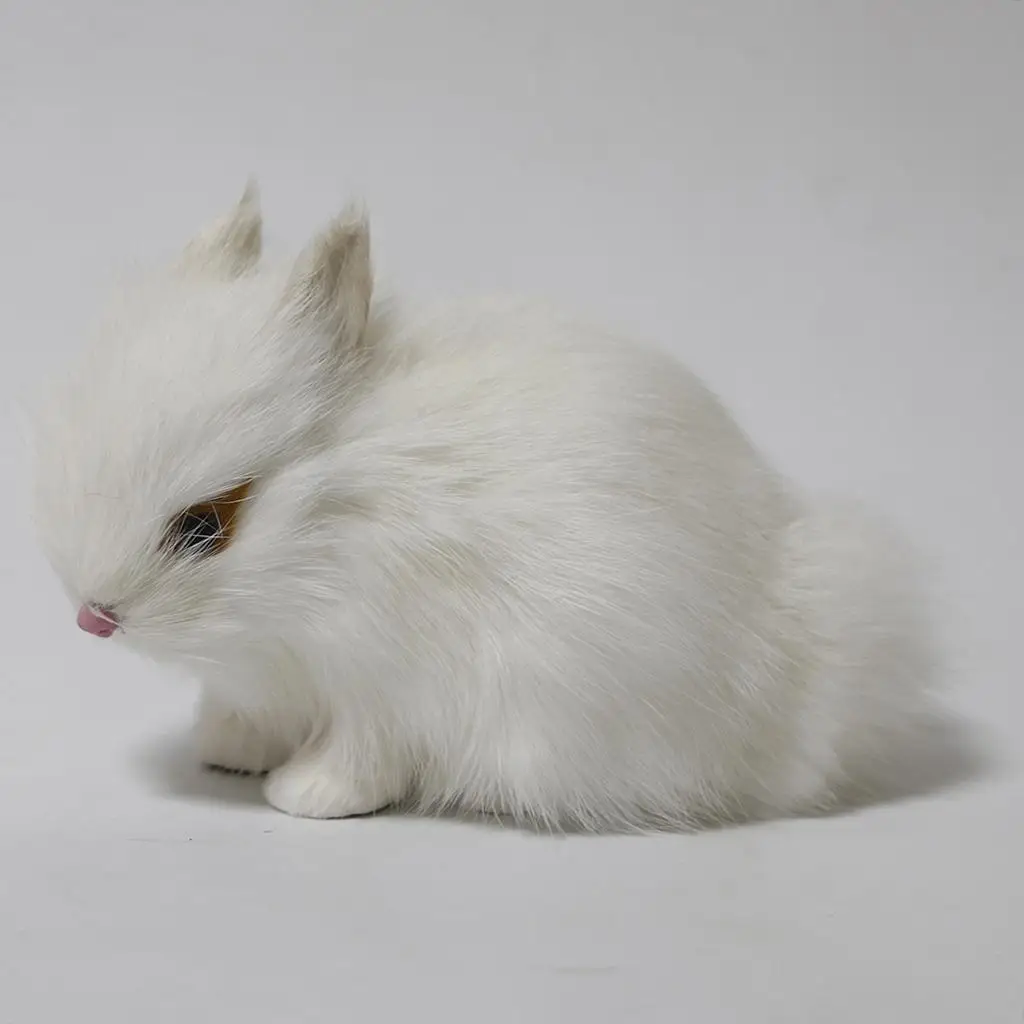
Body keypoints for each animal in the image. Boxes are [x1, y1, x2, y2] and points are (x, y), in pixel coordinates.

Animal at [31, 182, 938, 831]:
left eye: (206, 524)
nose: (94, 616)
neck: (340, 517)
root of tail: (810, 673)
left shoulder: (385, 684)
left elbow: (361, 756)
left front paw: (306, 796)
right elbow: (246, 712)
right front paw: (226, 751)